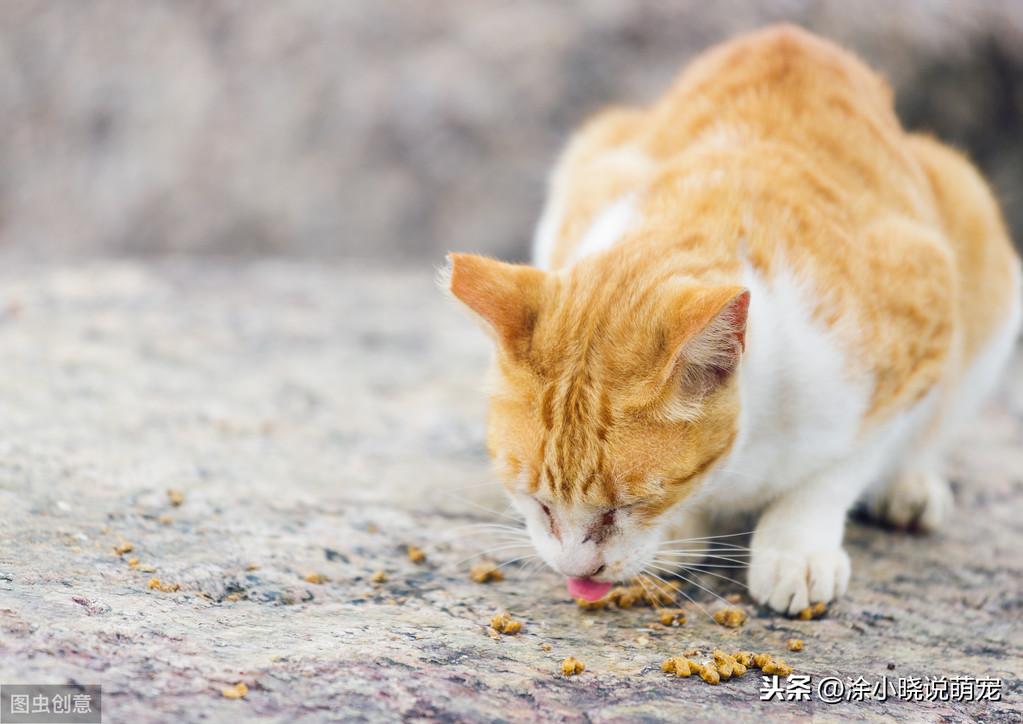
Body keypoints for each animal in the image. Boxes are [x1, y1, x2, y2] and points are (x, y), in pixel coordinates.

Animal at [443, 25, 1018, 613]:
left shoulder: (920, 328)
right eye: (538, 503)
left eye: (629, 507)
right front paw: (681, 534)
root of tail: (789, 35)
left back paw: (910, 487)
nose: (578, 572)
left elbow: (837, 472)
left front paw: (795, 548)